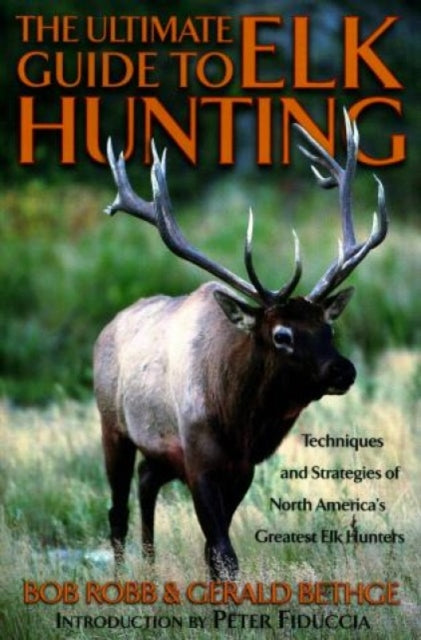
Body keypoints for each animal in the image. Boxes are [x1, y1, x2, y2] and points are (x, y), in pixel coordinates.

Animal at [94, 110, 387, 580]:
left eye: (329, 328)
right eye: (282, 334)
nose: (344, 369)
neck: (238, 418)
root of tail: (108, 326)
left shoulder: (243, 468)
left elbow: (213, 553)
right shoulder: (199, 460)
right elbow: (225, 554)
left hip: (159, 451)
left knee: (146, 481)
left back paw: (152, 567)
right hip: (112, 425)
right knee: (117, 509)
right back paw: (124, 576)